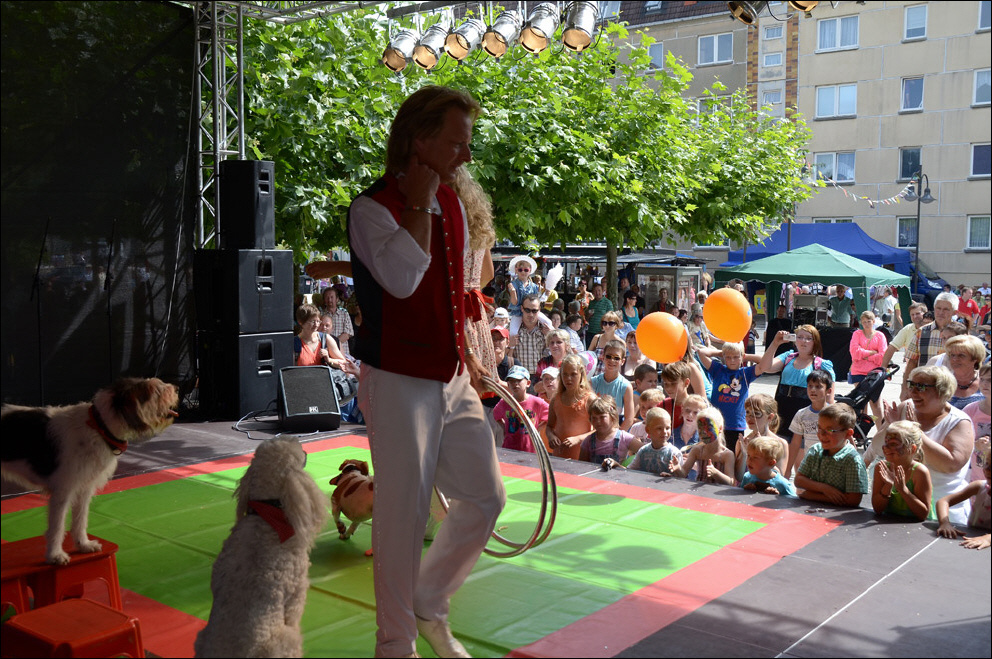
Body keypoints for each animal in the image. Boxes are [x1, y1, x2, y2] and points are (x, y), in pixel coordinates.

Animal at [1, 377, 178, 565]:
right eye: (156, 390)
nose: (177, 388)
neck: (99, 426)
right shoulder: (63, 491)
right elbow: (57, 527)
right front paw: (55, 555)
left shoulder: (85, 487)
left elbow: (81, 519)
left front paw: (83, 545)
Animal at [195, 437, 328, 658]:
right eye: (297, 449)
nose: (300, 441)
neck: (266, 516)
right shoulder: (296, 594)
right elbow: (295, 614)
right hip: (287, 639)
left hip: (200, 638)